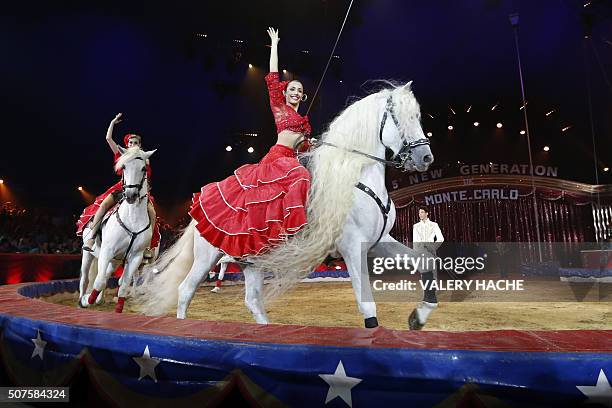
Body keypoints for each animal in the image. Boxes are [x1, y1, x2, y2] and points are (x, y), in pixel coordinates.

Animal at [77, 147, 155, 312]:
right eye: (124, 167)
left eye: (143, 168)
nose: (130, 195)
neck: (132, 219)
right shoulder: (107, 251)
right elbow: (99, 281)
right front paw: (88, 300)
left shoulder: (135, 257)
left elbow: (123, 285)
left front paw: (118, 309)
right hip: (89, 254)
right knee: (85, 277)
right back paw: (82, 300)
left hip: (115, 261)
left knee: (106, 275)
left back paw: (99, 299)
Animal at [134, 81, 440, 330]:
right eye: (401, 118)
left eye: (418, 116)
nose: (426, 158)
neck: (355, 177)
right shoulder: (353, 247)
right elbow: (367, 305)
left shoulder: (379, 241)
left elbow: (426, 261)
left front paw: (419, 316)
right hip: (207, 256)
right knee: (185, 290)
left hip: (251, 261)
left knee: (252, 301)